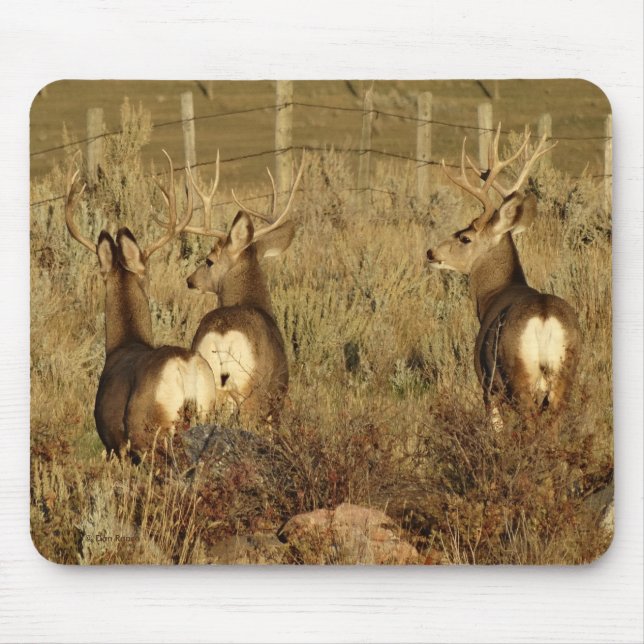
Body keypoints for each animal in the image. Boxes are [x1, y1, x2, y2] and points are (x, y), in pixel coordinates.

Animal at [155, 152, 305, 426]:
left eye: (208, 260)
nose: (190, 280)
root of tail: (223, 337)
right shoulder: (277, 395)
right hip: (252, 390)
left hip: (205, 392)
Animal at [426, 125, 582, 431]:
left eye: (465, 237)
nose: (431, 252)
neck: (493, 294)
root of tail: (544, 317)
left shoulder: (486, 383)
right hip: (564, 375)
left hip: (518, 374)